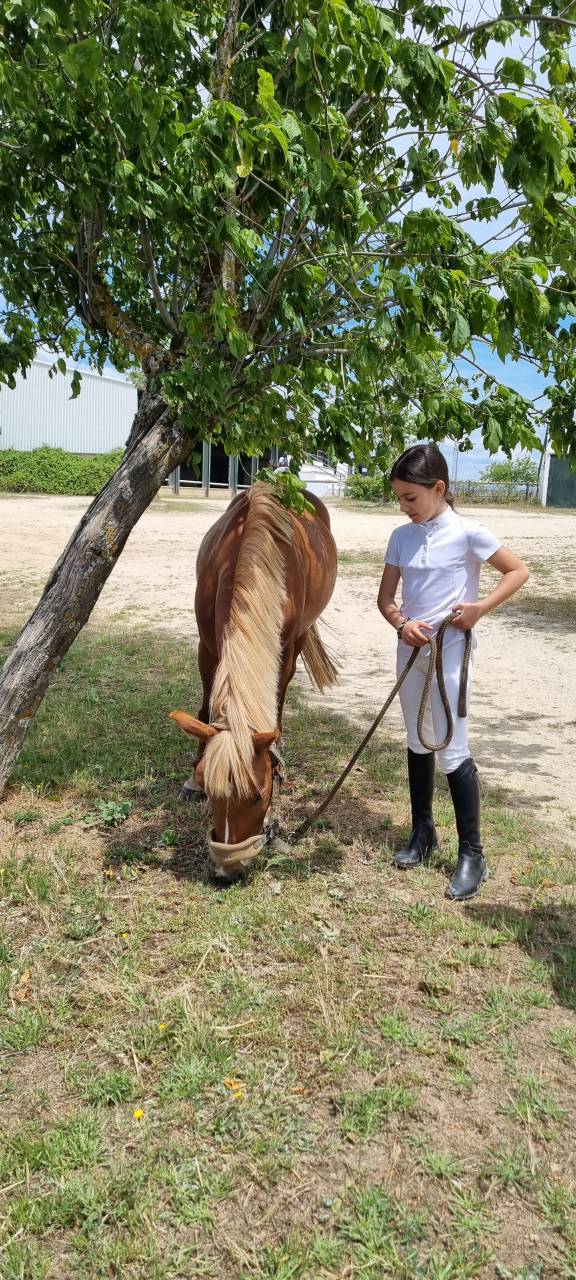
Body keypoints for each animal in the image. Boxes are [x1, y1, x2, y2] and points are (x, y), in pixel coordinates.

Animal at [170, 481, 338, 879]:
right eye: (211, 788)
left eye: (258, 795)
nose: (228, 870)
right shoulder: (207, 646)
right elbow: (204, 708)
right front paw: (190, 782)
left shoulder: (285, 651)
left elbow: (274, 710)